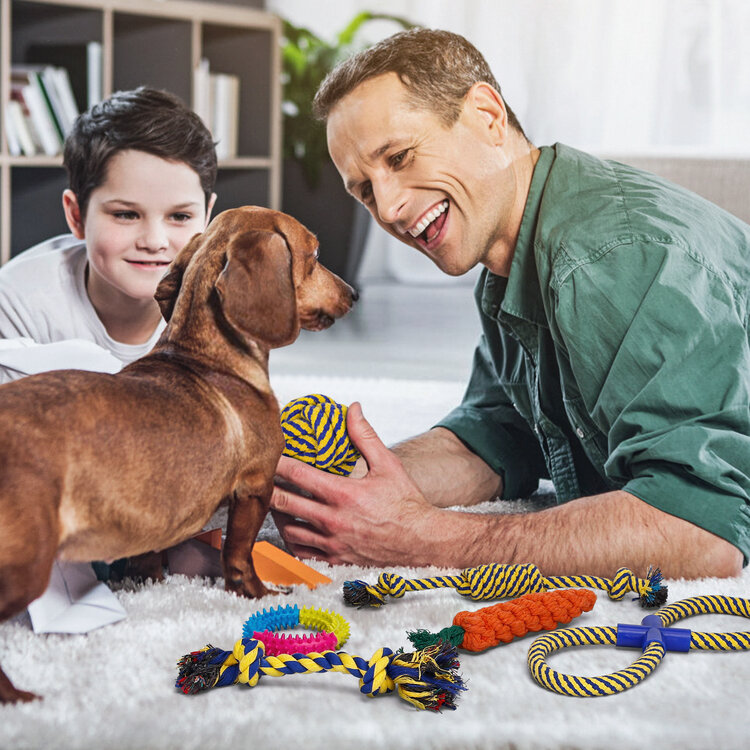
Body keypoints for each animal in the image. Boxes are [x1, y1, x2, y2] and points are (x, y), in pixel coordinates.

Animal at [0, 206, 358, 704]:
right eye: (316, 254)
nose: (354, 294)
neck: (204, 354)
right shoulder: (255, 488)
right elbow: (239, 553)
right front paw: (257, 594)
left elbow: (152, 556)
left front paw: (150, 583)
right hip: (25, 565)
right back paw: (17, 698)